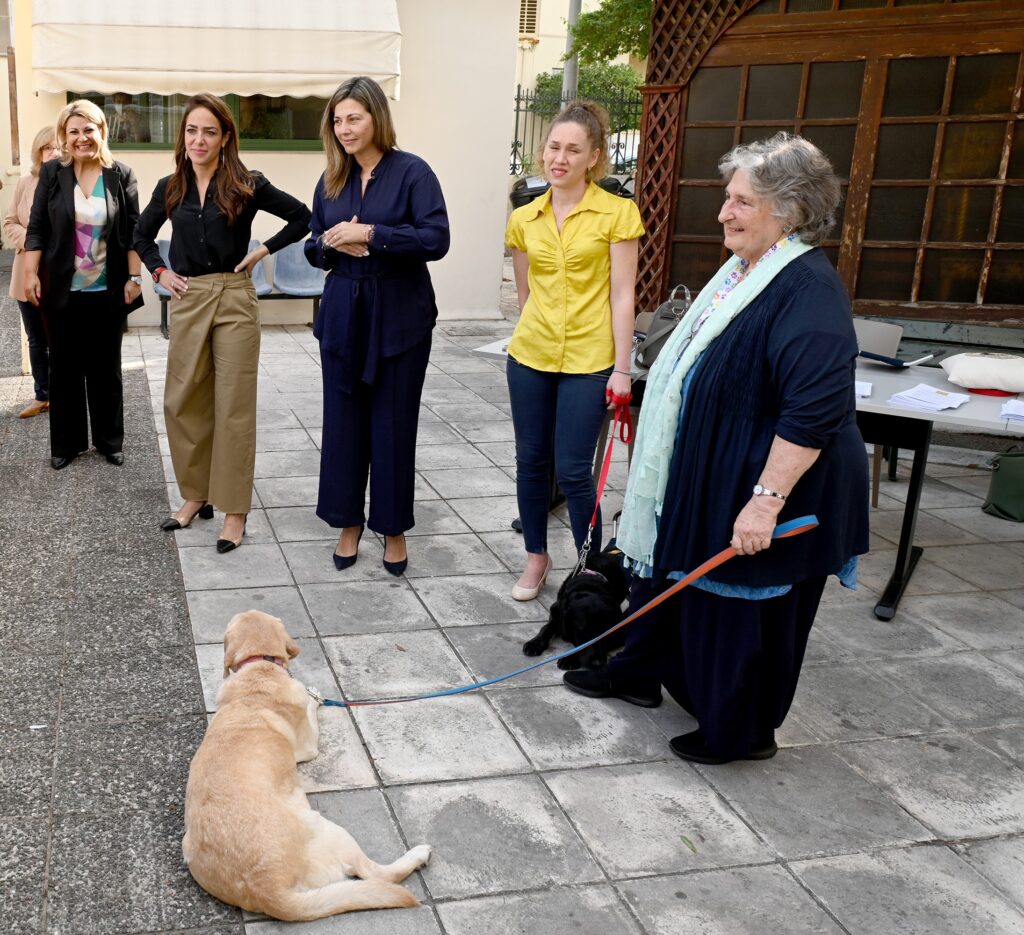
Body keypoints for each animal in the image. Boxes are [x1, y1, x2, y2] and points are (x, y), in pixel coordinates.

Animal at [184, 610, 432, 921]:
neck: (259, 669)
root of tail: (272, 892)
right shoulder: (308, 746)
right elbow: (311, 706)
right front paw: (315, 697)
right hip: (332, 831)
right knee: (377, 874)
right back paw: (418, 855)